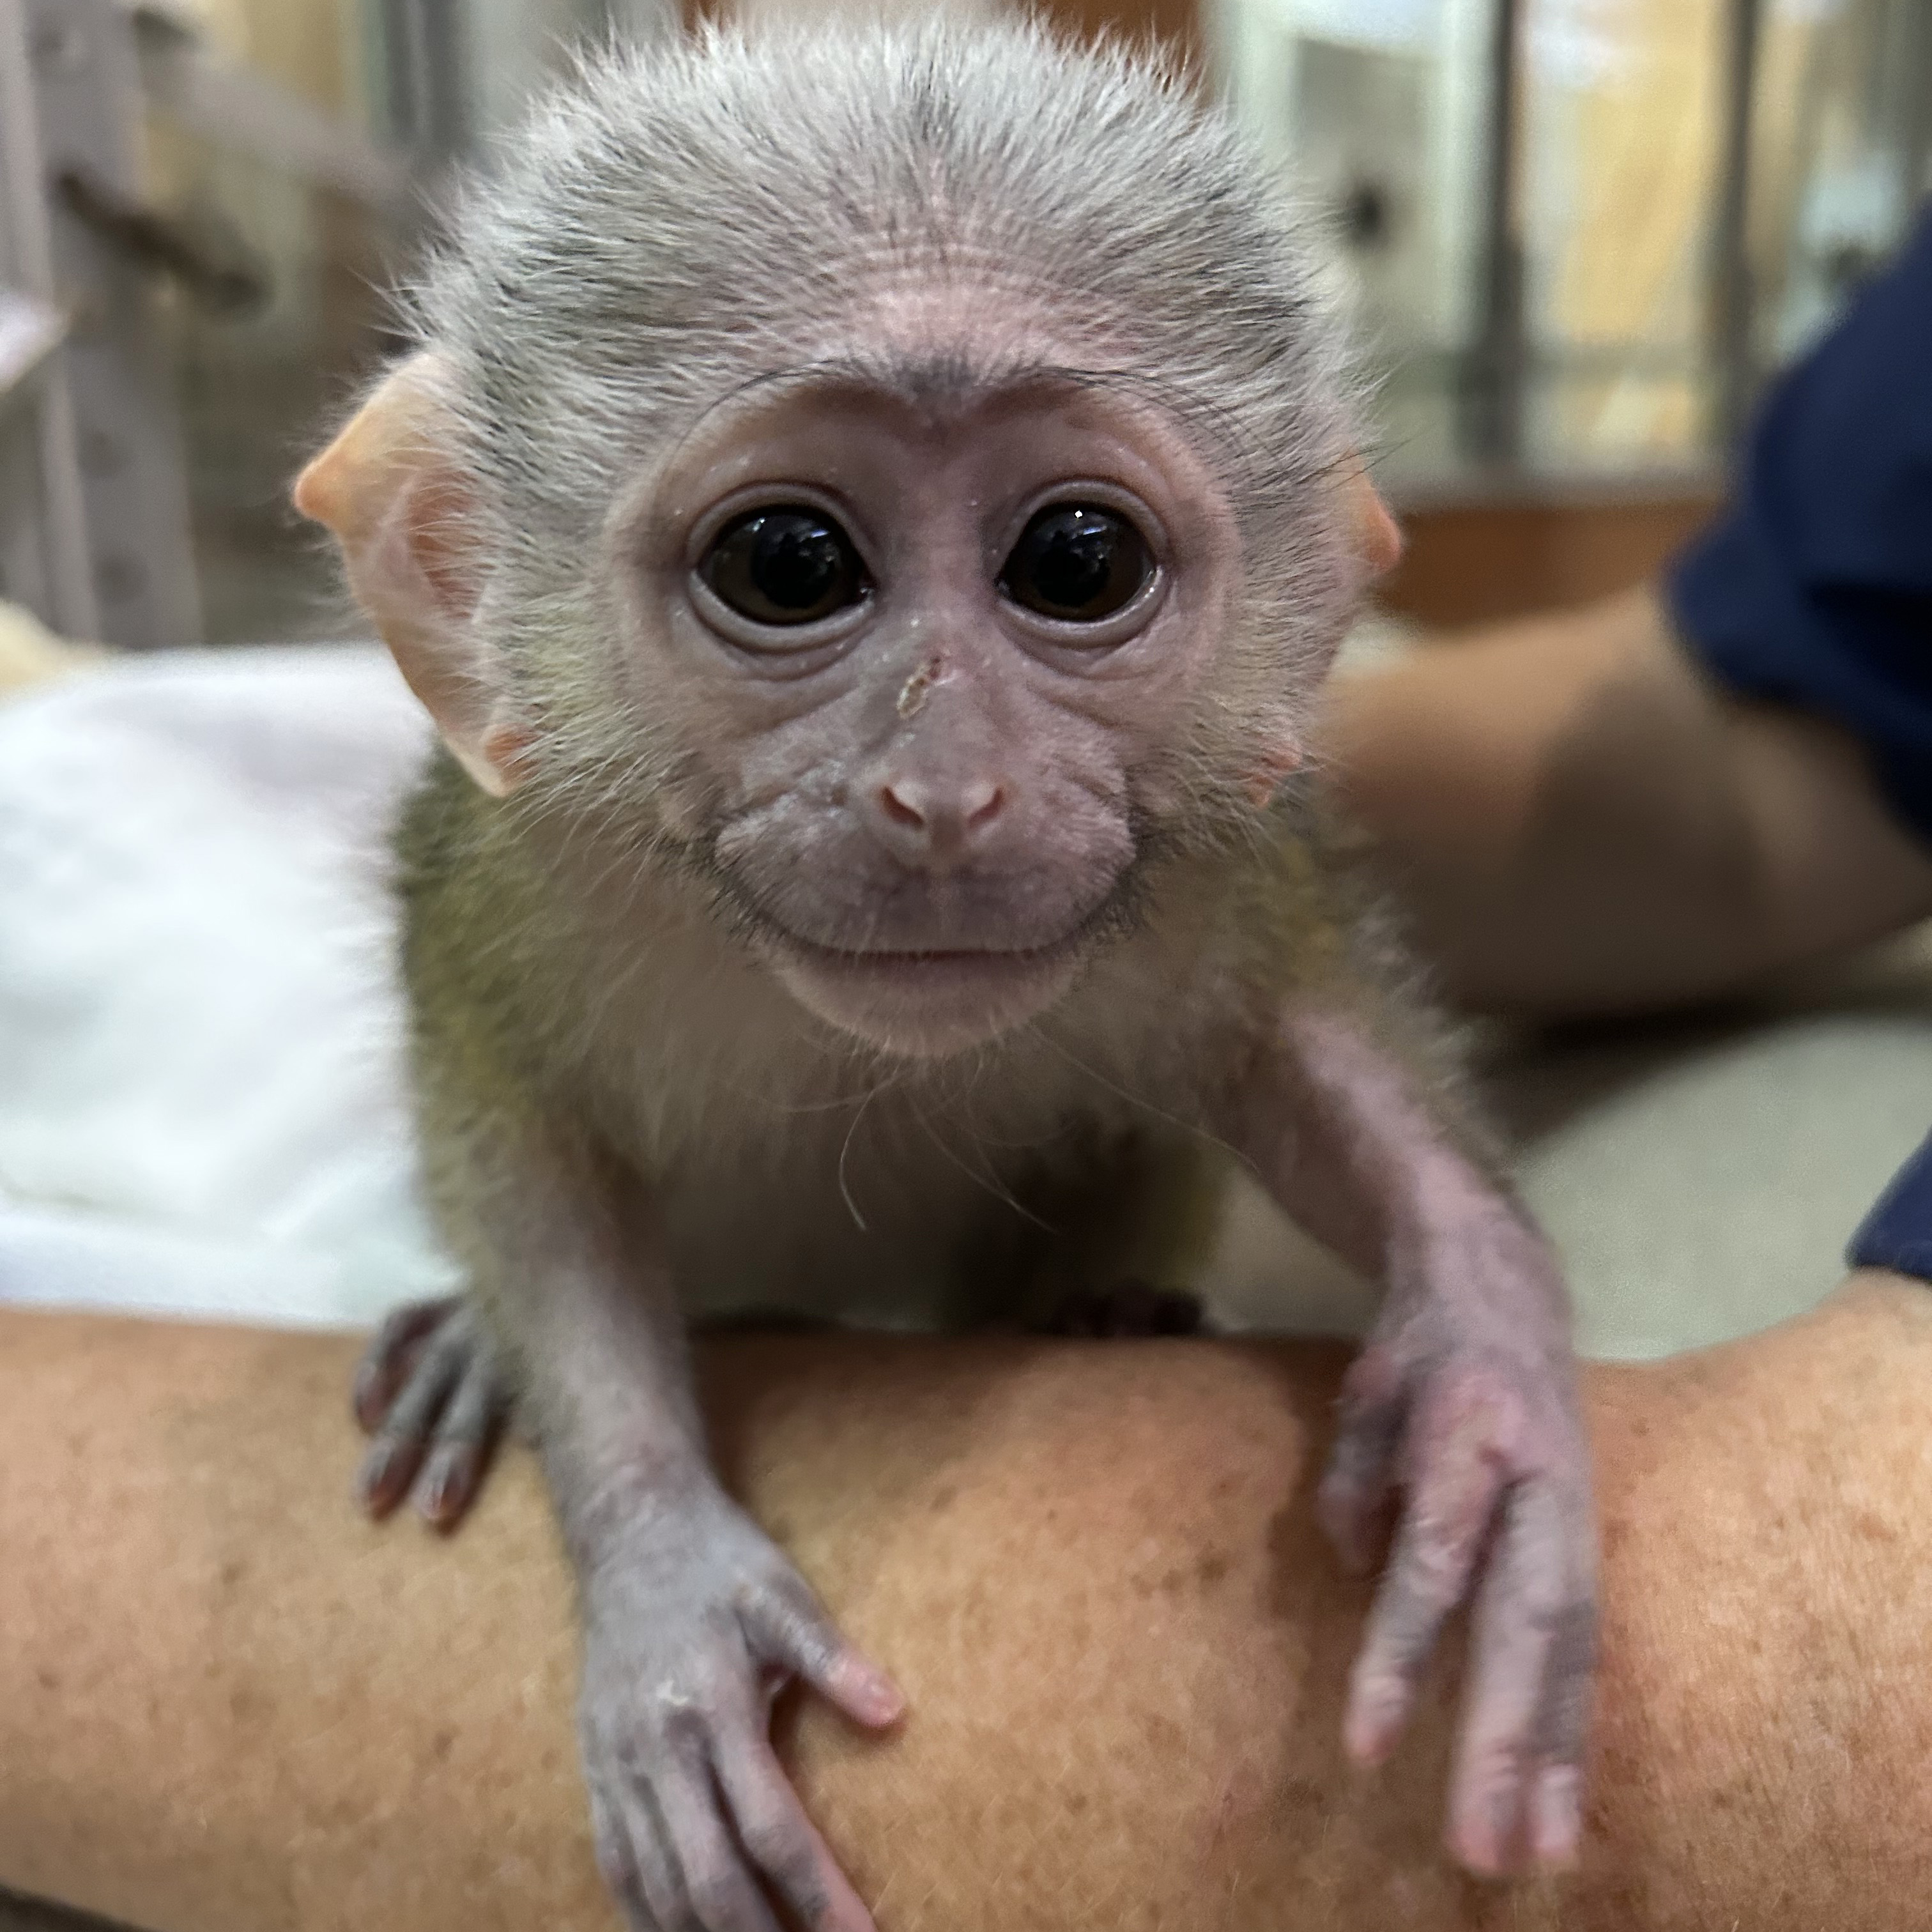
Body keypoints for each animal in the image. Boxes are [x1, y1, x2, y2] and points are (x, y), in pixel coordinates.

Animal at [301, 26, 1591, 1932]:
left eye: (1076, 561)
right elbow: (518, 1141)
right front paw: (662, 1571)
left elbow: (1299, 1050)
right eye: (789, 565)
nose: (946, 791)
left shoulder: (1209, 854)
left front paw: (1489, 1378)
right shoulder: (507, 869)